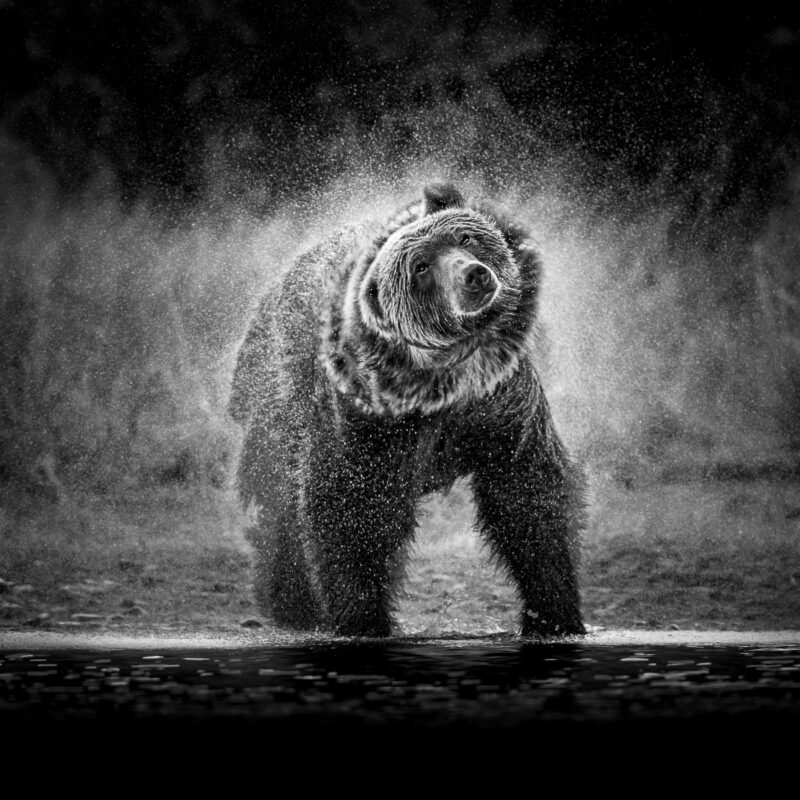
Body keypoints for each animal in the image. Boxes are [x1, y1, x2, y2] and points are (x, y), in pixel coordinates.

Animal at [229, 182, 585, 638]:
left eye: (465, 237)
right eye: (420, 267)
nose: (474, 275)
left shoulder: (498, 402)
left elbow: (526, 488)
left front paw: (554, 612)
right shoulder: (364, 418)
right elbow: (351, 503)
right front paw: (364, 617)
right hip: (278, 401)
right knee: (285, 504)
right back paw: (293, 602)